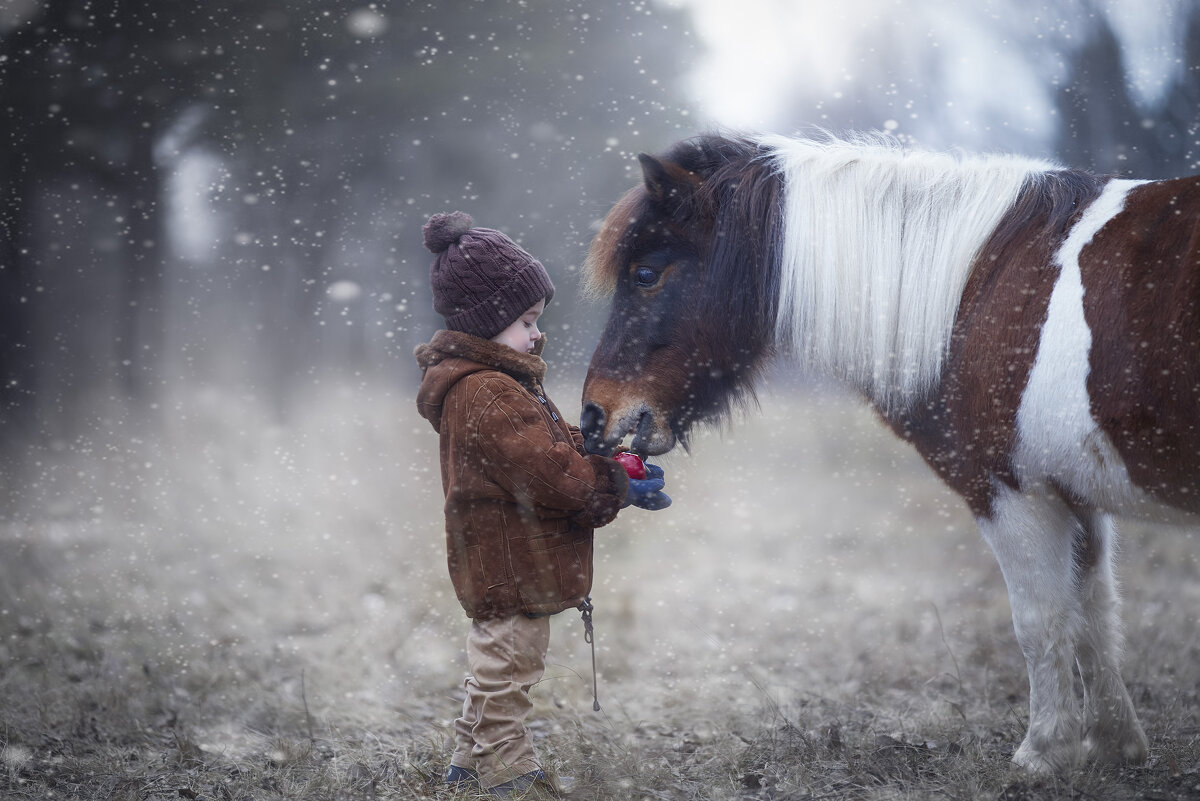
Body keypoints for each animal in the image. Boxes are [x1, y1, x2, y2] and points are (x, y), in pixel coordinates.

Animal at [578, 133, 1200, 777]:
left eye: (646, 274)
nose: (594, 415)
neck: (977, 290)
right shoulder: (1073, 496)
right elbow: (1095, 615)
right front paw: (1113, 742)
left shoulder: (1010, 494)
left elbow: (1041, 619)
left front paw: (1043, 752)